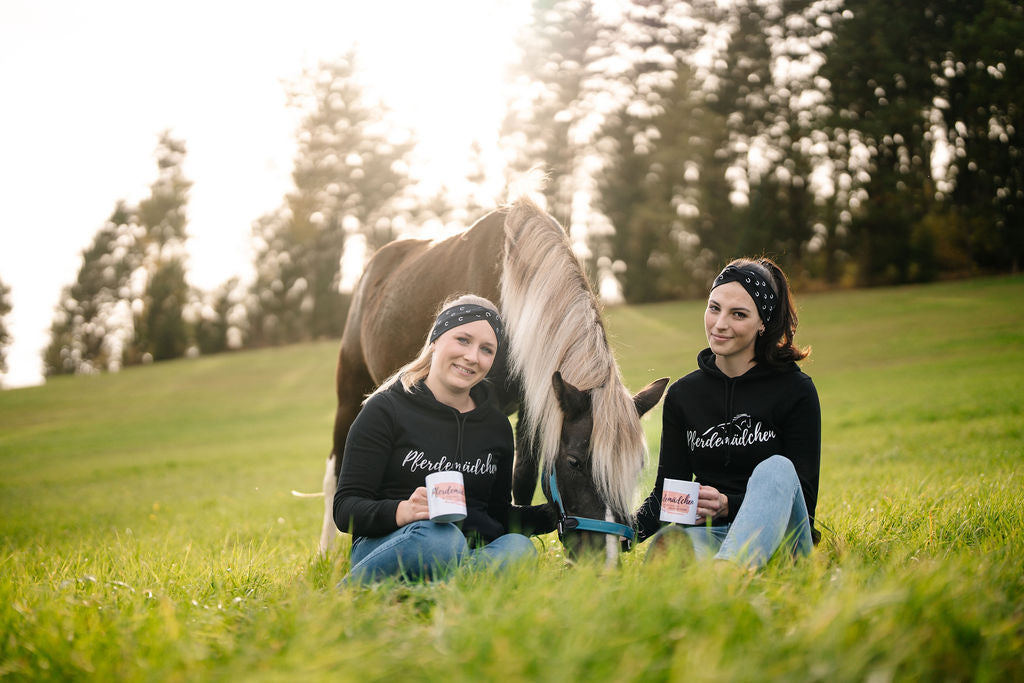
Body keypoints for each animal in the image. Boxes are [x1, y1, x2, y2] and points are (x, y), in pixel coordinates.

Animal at [321, 196, 671, 561]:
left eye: (637, 466)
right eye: (574, 462)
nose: (605, 559)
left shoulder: (535, 404)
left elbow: (523, 476)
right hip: (350, 395)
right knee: (335, 470)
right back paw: (326, 555)